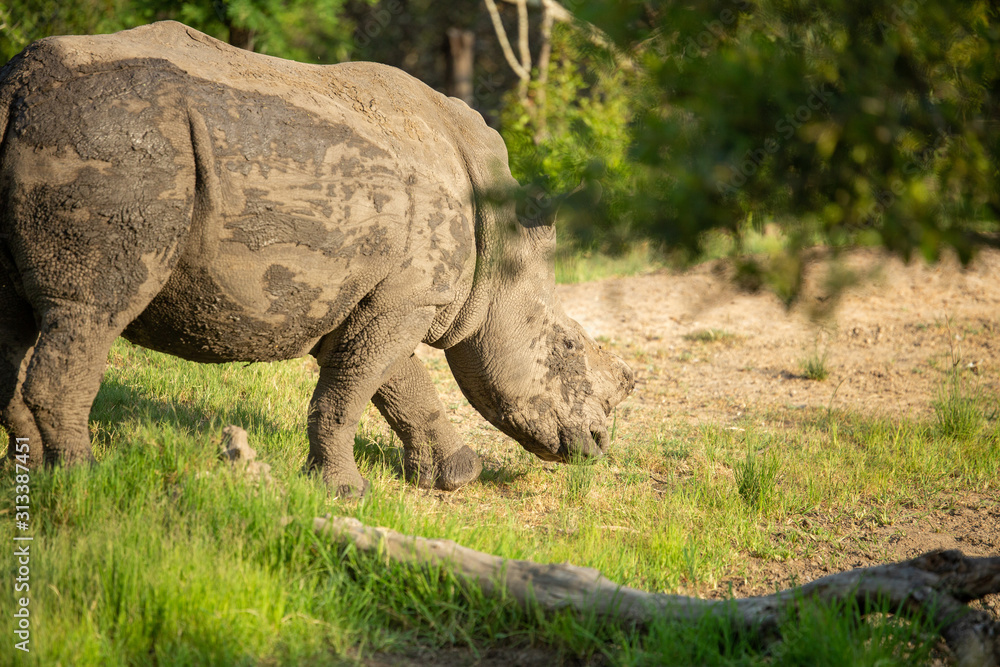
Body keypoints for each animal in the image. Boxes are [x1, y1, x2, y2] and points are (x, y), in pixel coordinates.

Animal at [0, 22, 634, 497]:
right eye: (566, 347)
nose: (599, 444)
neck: (500, 248)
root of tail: (18, 84)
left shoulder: (380, 295)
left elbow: (392, 383)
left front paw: (455, 477)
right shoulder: (409, 296)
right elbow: (353, 390)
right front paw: (345, 493)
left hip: (79, 124)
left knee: (15, 323)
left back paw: (23, 476)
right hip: (118, 132)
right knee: (90, 311)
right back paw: (82, 482)